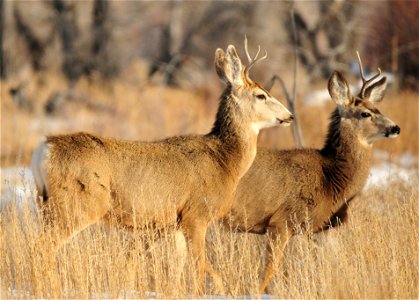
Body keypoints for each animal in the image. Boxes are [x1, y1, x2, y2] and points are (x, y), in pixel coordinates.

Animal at [31, 38, 294, 294]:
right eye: (261, 95)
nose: (290, 116)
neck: (224, 160)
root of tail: (44, 149)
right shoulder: (196, 215)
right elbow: (201, 265)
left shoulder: (174, 222)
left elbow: (178, 267)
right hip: (76, 205)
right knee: (43, 246)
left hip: (46, 205)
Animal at [225, 56, 402, 292]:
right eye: (365, 113)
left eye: (378, 108)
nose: (395, 128)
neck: (330, 179)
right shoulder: (281, 221)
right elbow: (268, 271)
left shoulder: (319, 230)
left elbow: (336, 262)